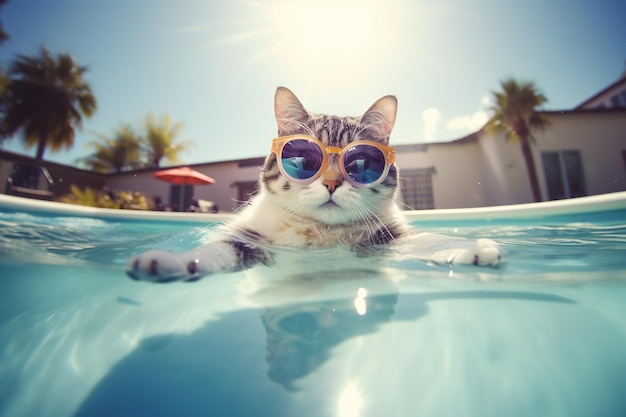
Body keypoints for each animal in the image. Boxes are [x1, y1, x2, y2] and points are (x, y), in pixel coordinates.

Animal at [127, 88, 502, 282]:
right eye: (304, 158)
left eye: (360, 163)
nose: (333, 183)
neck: (321, 235)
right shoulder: (249, 239)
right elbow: (210, 252)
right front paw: (170, 262)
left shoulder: (386, 238)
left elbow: (429, 241)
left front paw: (473, 248)